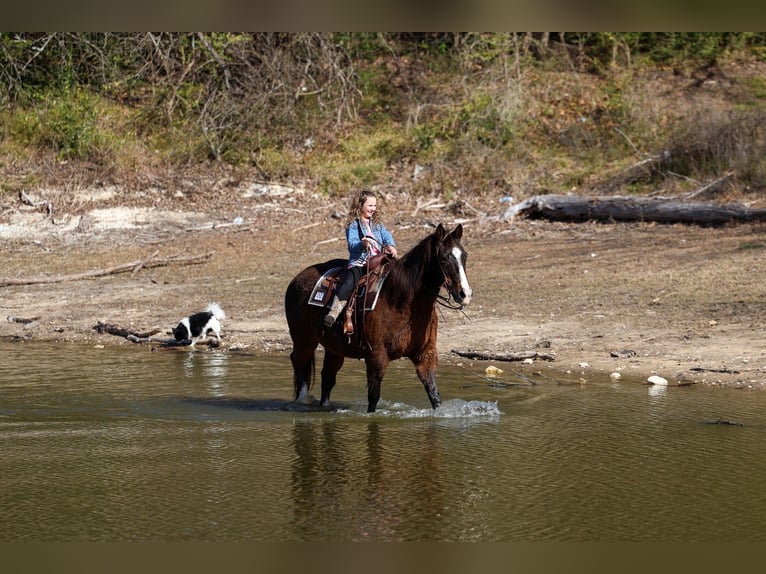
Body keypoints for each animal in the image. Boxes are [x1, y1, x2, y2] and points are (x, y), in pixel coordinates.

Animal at [284, 223, 472, 413]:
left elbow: (434, 396)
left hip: (334, 347)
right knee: (299, 362)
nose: (465, 294)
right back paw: (303, 399)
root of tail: (296, 279)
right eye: (444, 258)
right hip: (303, 340)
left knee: (328, 376)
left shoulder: (425, 355)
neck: (400, 301)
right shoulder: (376, 356)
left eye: (464, 255)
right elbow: (373, 398)